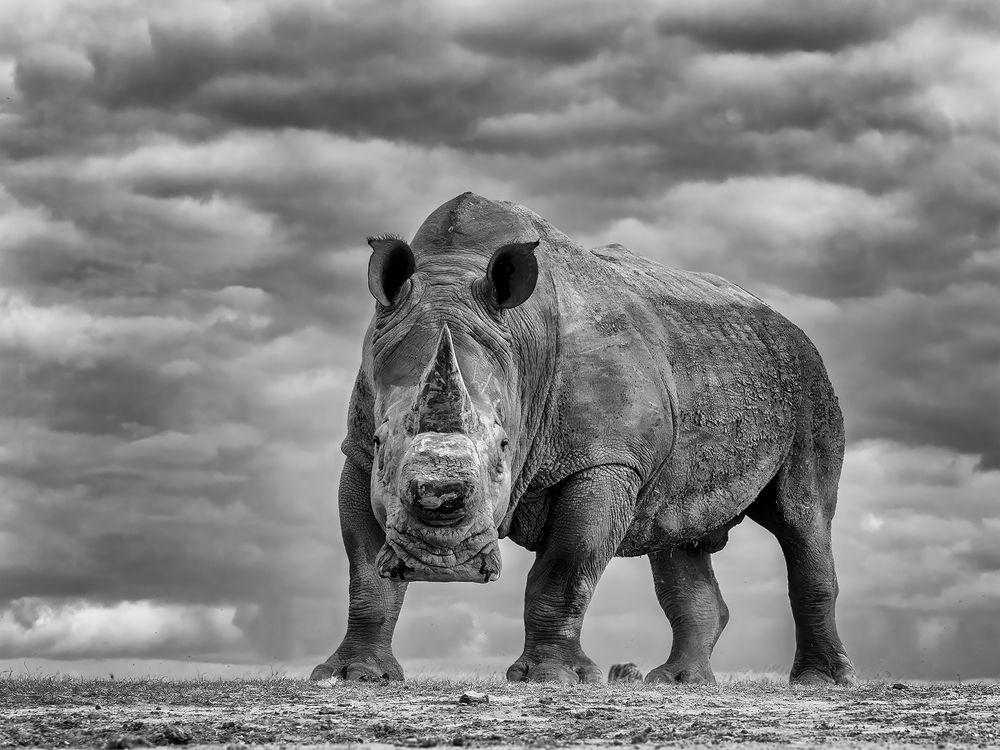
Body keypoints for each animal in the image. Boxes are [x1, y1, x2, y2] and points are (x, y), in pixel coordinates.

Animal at [310, 192, 856, 686]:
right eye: (380, 442)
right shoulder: (357, 453)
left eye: (504, 448)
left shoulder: (606, 458)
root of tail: (782, 320)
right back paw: (678, 682)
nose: (442, 558)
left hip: (808, 379)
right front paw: (353, 675)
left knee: (801, 518)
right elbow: (365, 571)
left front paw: (552, 678)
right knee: (678, 532)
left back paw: (821, 682)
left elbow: (567, 566)